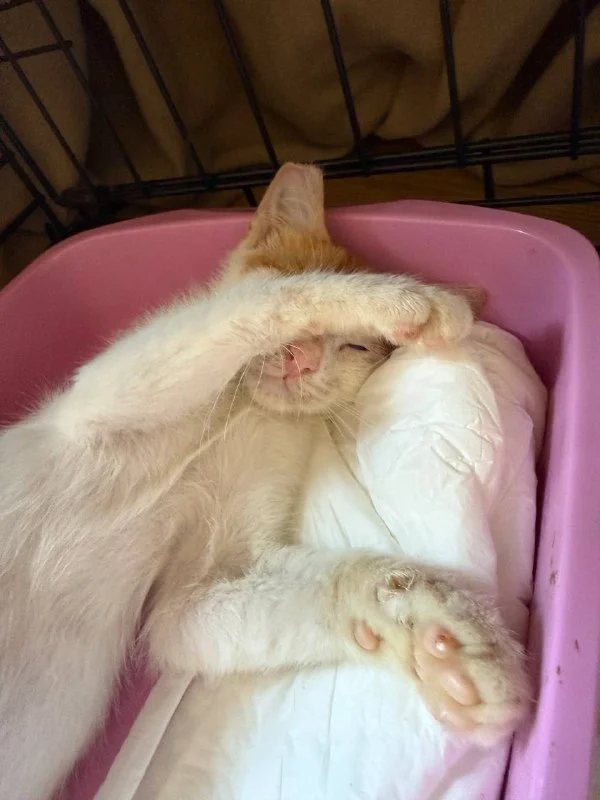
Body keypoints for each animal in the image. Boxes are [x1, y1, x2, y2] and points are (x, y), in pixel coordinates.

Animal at [0, 163, 528, 800]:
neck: (241, 407)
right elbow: (260, 300)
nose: (300, 358)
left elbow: (208, 612)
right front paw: (407, 296)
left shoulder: (198, 594)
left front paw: (438, 634)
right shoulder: (97, 401)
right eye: (291, 269)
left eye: (355, 348)